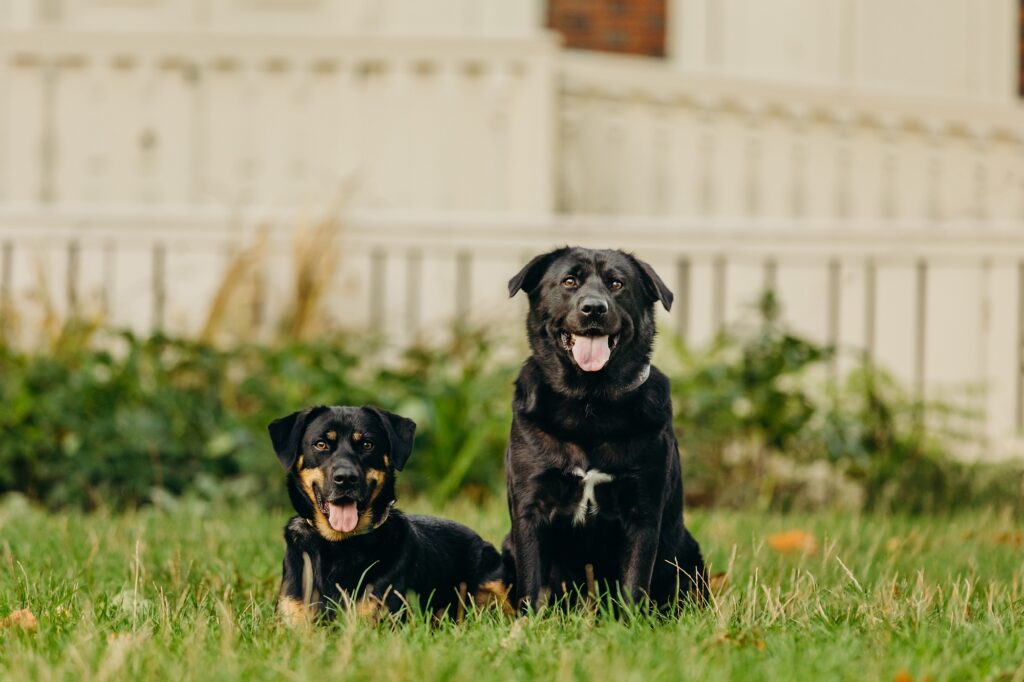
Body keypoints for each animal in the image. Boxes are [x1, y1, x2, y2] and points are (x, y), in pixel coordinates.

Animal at [501, 244, 704, 606]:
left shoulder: (642, 511)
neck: (589, 405)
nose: (594, 308)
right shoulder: (530, 508)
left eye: (616, 284)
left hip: (688, 555)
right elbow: (532, 585)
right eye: (569, 281)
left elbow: (634, 584)